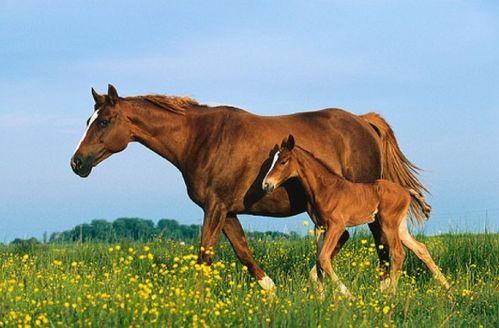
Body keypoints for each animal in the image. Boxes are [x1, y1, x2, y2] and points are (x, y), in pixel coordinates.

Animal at [72, 84, 428, 292]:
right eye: (88, 121)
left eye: (103, 121)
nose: (77, 162)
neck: (201, 138)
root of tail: (363, 120)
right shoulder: (226, 211)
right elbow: (243, 251)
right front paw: (270, 290)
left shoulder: (215, 208)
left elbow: (205, 255)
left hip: (372, 210)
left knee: (383, 247)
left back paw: (381, 292)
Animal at [264, 135, 452, 294]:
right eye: (273, 160)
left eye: (283, 161)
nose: (266, 184)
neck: (324, 188)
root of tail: (405, 190)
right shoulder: (319, 227)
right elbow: (318, 261)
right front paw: (322, 298)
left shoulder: (337, 226)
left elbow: (324, 258)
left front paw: (348, 295)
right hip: (400, 226)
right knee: (420, 248)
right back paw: (448, 290)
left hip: (388, 223)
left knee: (399, 253)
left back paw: (391, 295)